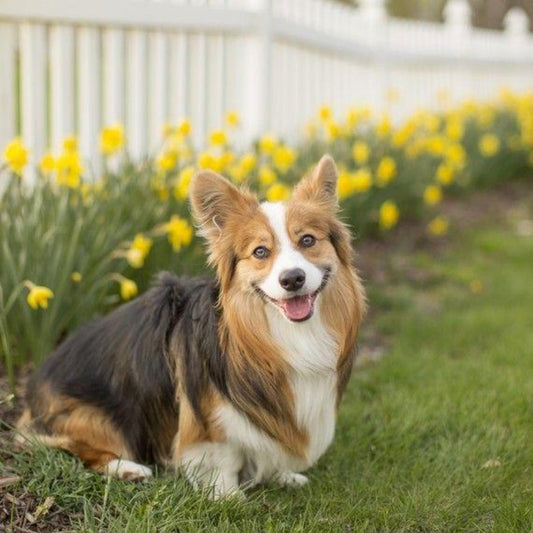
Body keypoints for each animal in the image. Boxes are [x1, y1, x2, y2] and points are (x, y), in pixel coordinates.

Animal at [16, 154, 366, 498]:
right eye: (260, 251)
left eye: (308, 240)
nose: (292, 279)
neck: (286, 334)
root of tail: (32, 387)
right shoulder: (210, 420)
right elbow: (224, 458)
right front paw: (229, 498)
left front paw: (283, 475)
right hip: (100, 418)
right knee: (77, 448)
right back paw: (129, 469)